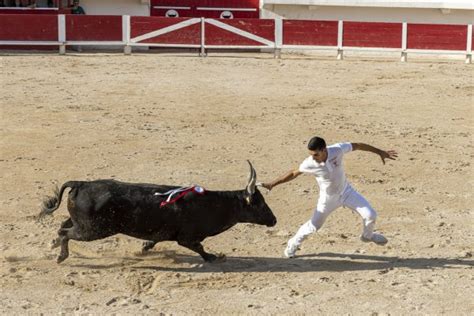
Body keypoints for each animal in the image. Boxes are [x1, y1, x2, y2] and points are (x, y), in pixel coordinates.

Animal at [41, 162, 278, 262]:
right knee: (65, 233)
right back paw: (61, 256)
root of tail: (81, 183)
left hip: (83, 224)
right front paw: (214, 257)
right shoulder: (187, 238)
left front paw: (145, 247)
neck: (213, 203)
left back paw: (53, 245)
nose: (274, 220)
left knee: (62, 226)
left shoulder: (165, 232)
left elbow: (155, 239)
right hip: (93, 230)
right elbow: (200, 248)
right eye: (259, 204)